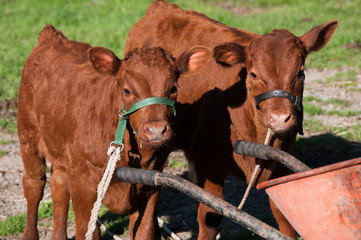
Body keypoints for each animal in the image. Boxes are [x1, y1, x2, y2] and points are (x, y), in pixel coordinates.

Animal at [18, 24, 211, 240]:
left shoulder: (151, 185)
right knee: (34, 184)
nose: (155, 130)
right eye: (126, 90)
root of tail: (52, 37)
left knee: (59, 185)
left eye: (174, 89)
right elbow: (88, 231)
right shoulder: (83, 184)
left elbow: (145, 231)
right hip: (28, 136)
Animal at [124, 0, 338, 239]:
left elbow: (285, 213)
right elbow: (211, 212)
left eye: (300, 72)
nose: (280, 118)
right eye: (253, 74)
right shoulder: (209, 162)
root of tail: (162, 8)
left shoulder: (282, 161)